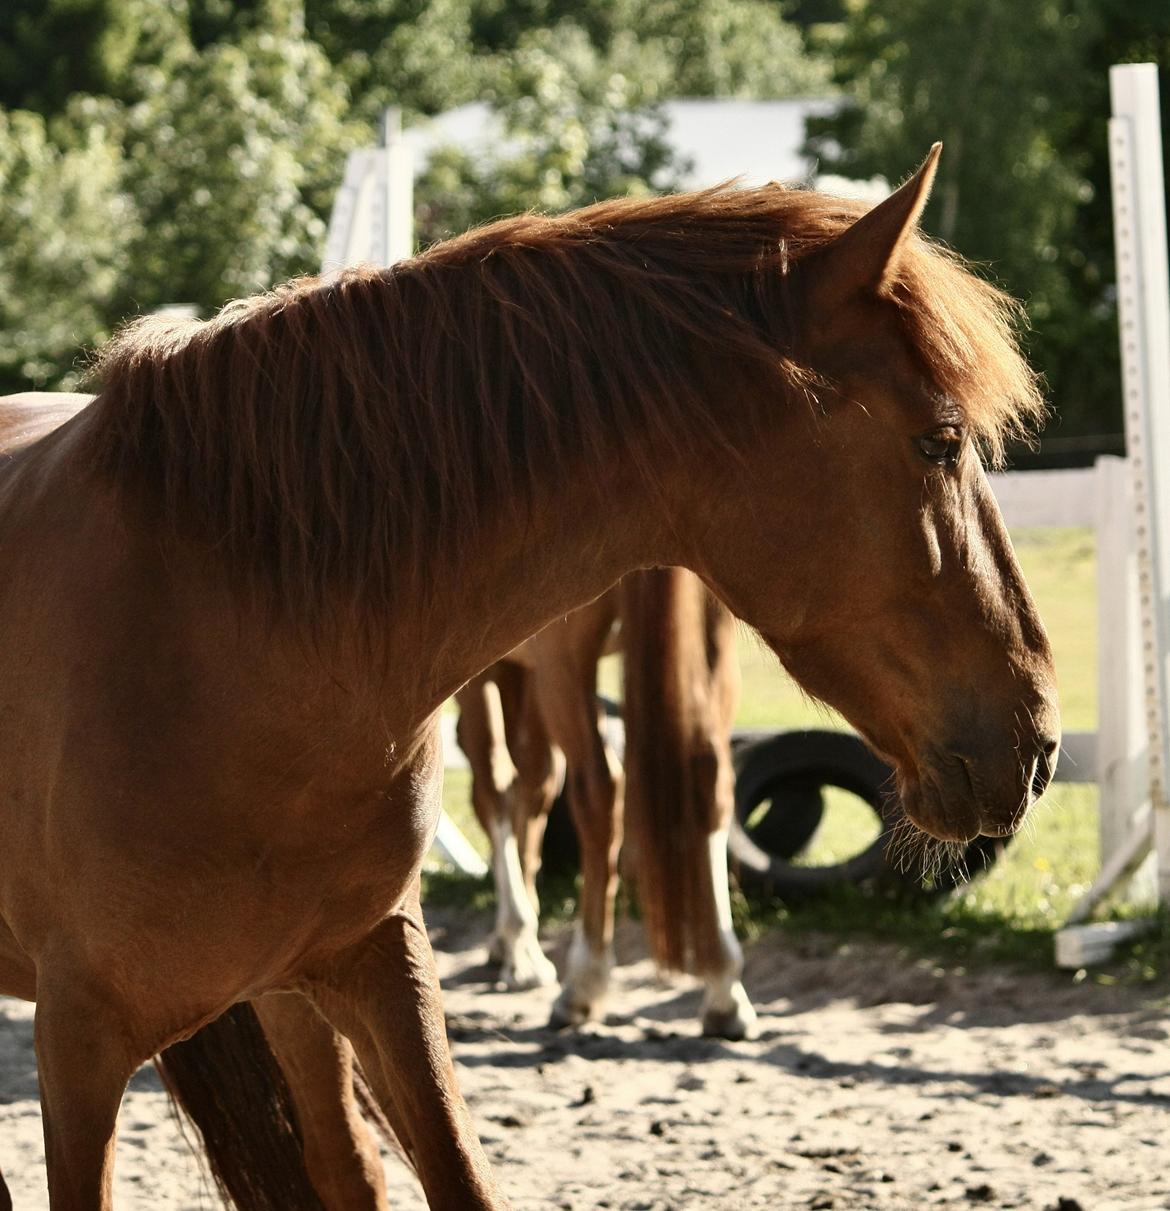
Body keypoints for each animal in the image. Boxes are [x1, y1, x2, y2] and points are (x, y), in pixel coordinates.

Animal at [452, 566, 755, 1041]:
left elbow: (496, 789)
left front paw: (519, 944)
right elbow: (533, 786)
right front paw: (514, 940)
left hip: (565, 657)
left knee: (597, 789)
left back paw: (583, 981)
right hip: (712, 641)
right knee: (709, 777)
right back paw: (724, 988)